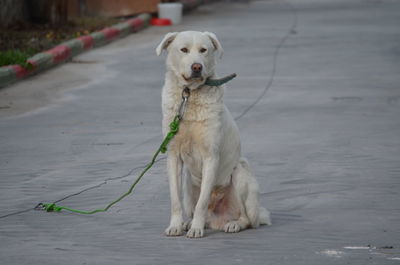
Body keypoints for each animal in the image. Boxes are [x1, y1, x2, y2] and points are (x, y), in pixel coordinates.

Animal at [156, 31, 272, 237]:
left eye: (204, 50)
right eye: (184, 49)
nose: (197, 67)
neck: (189, 95)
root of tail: (218, 219)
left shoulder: (211, 157)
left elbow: (202, 202)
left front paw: (196, 229)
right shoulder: (173, 156)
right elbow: (175, 200)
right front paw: (176, 225)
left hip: (241, 174)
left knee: (247, 219)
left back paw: (232, 224)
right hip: (188, 186)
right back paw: (188, 223)